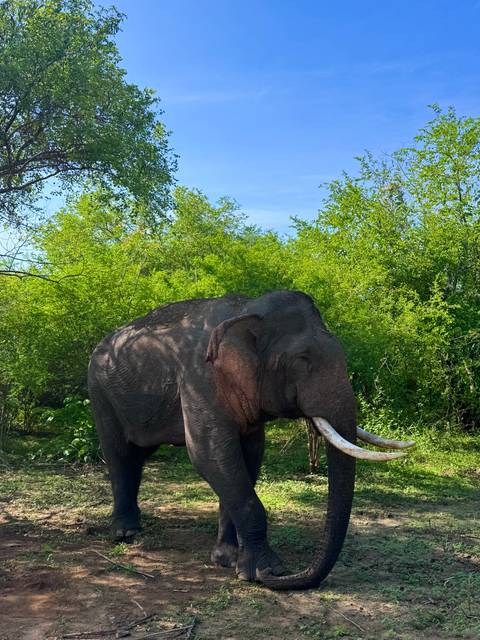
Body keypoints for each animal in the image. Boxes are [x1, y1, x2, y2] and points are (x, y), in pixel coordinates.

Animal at [88, 290, 415, 590]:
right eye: (302, 359)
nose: (282, 577)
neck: (246, 309)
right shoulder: (199, 379)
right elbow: (209, 454)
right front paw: (264, 570)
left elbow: (249, 456)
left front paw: (227, 560)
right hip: (99, 391)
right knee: (120, 455)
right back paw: (126, 534)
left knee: (137, 455)